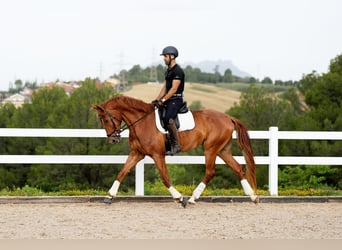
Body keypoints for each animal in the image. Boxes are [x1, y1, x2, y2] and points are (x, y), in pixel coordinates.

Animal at [92, 94, 258, 206]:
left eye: (105, 119)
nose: (113, 139)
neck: (141, 122)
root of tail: (228, 117)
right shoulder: (137, 153)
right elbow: (122, 172)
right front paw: (109, 196)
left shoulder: (157, 155)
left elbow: (165, 178)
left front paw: (179, 197)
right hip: (222, 150)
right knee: (238, 168)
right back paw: (253, 197)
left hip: (210, 149)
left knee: (210, 172)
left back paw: (192, 198)